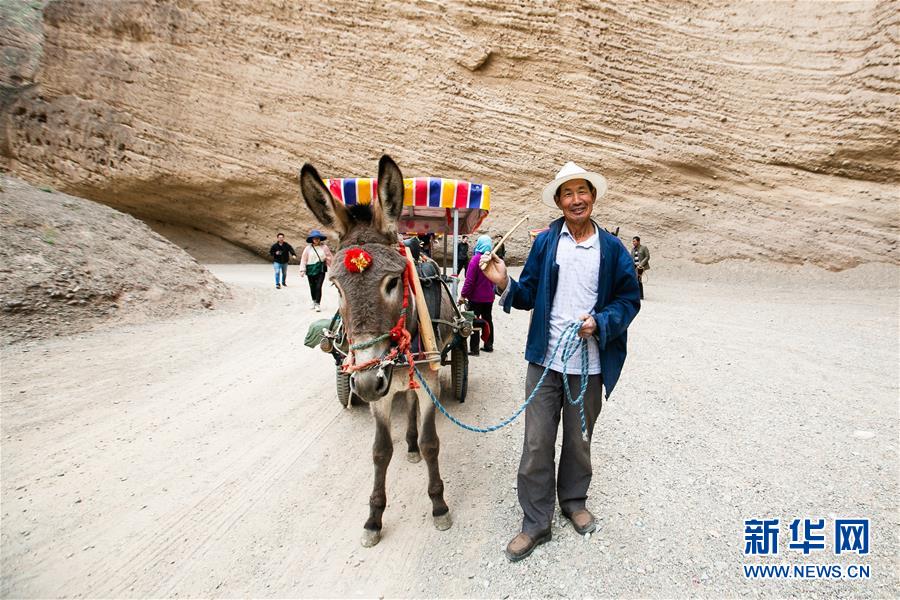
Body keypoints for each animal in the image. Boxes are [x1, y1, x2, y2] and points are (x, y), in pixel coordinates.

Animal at [299, 155, 454, 548]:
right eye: (335, 286)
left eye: (393, 281)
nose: (368, 383)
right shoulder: (378, 397)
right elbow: (380, 450)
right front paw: (373, 518)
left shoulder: (429, 381)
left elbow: (432, 443)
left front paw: (439, 506)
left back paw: (413, 446)